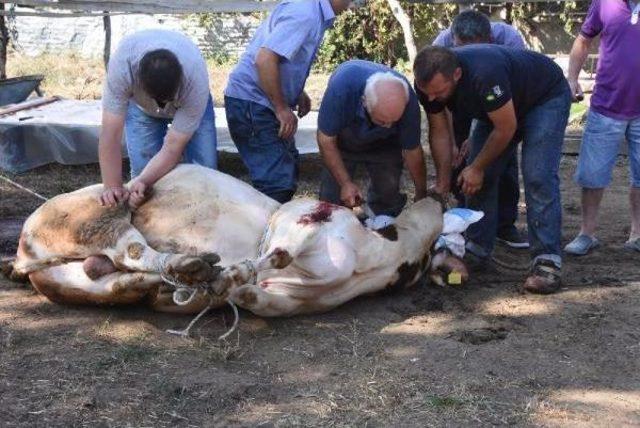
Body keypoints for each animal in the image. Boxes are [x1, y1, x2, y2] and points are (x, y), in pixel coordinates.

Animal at [10, 164, 460, 318]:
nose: (441, 194)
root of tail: (19, 254)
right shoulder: (301, 217)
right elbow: (275, 255)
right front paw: (227, 276)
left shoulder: (283, 301)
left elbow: (253, 292)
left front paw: (222, 288)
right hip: (100, 214)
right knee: (134, 249)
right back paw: (187, 268)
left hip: (79, 282)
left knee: (121, 282)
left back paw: (174, 282)